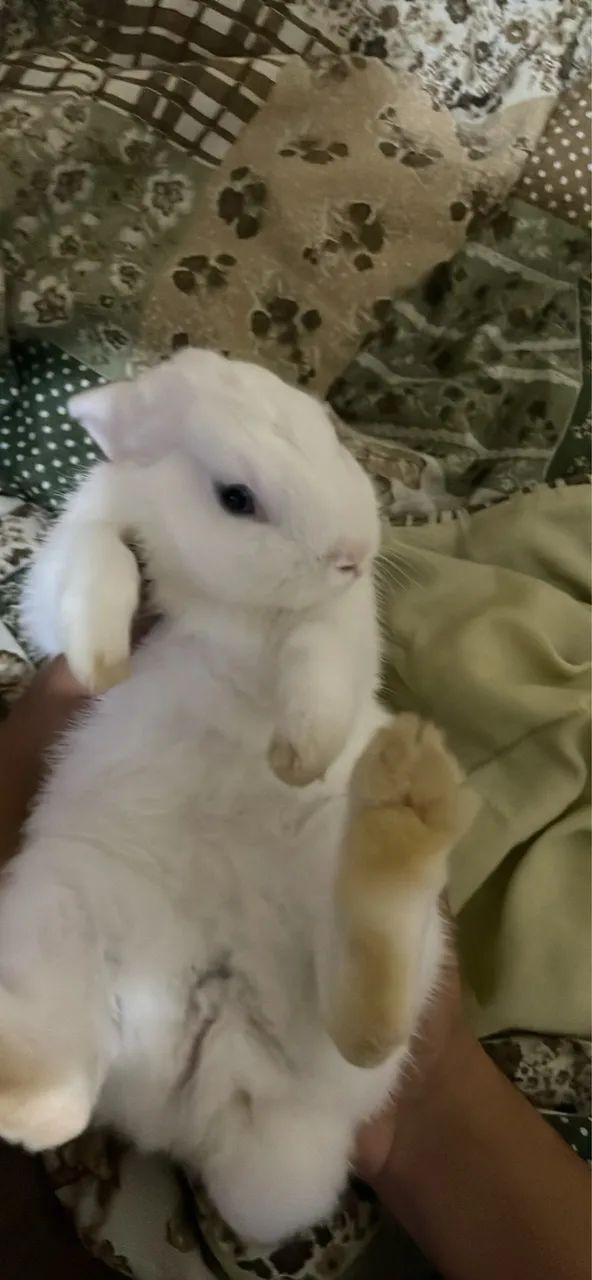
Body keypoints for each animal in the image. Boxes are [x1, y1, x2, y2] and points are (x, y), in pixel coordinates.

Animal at [0, 349, 468, 1245]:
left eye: (331, 435)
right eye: (236, 499)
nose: (353, 554)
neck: (229, 602)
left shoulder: (335, 630)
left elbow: (320, 671)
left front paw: (298, 756)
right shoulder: (73, 552)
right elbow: (98, 567)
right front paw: (106, 662)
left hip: (359, 950)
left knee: (363, 1023)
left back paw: (402, 805)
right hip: (58, 905)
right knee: (60, 1089)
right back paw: (21, 1090)